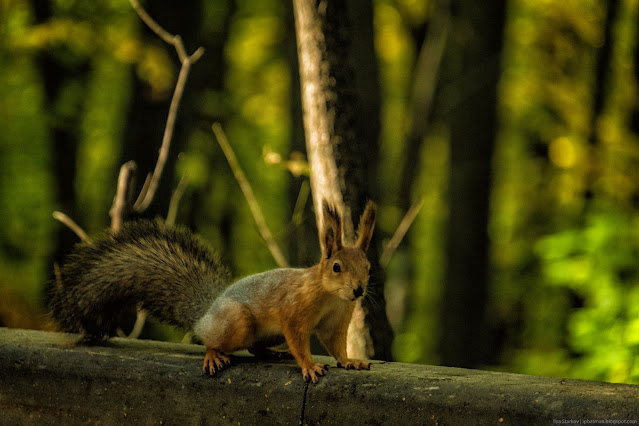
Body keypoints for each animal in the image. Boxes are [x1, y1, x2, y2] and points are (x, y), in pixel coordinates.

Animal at [52, 200, 380, 382]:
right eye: (336, 267)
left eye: (368, 267)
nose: (358, 290)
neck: (331, 297)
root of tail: (205, 314)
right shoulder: (294, 311)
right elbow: (299, 339)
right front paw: (310, 366)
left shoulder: (336, 320)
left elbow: (335, 344)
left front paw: (350, 361)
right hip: (237, 321)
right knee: (213, 341)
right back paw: (214, 355)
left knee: (254, 347)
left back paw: (272, 353)